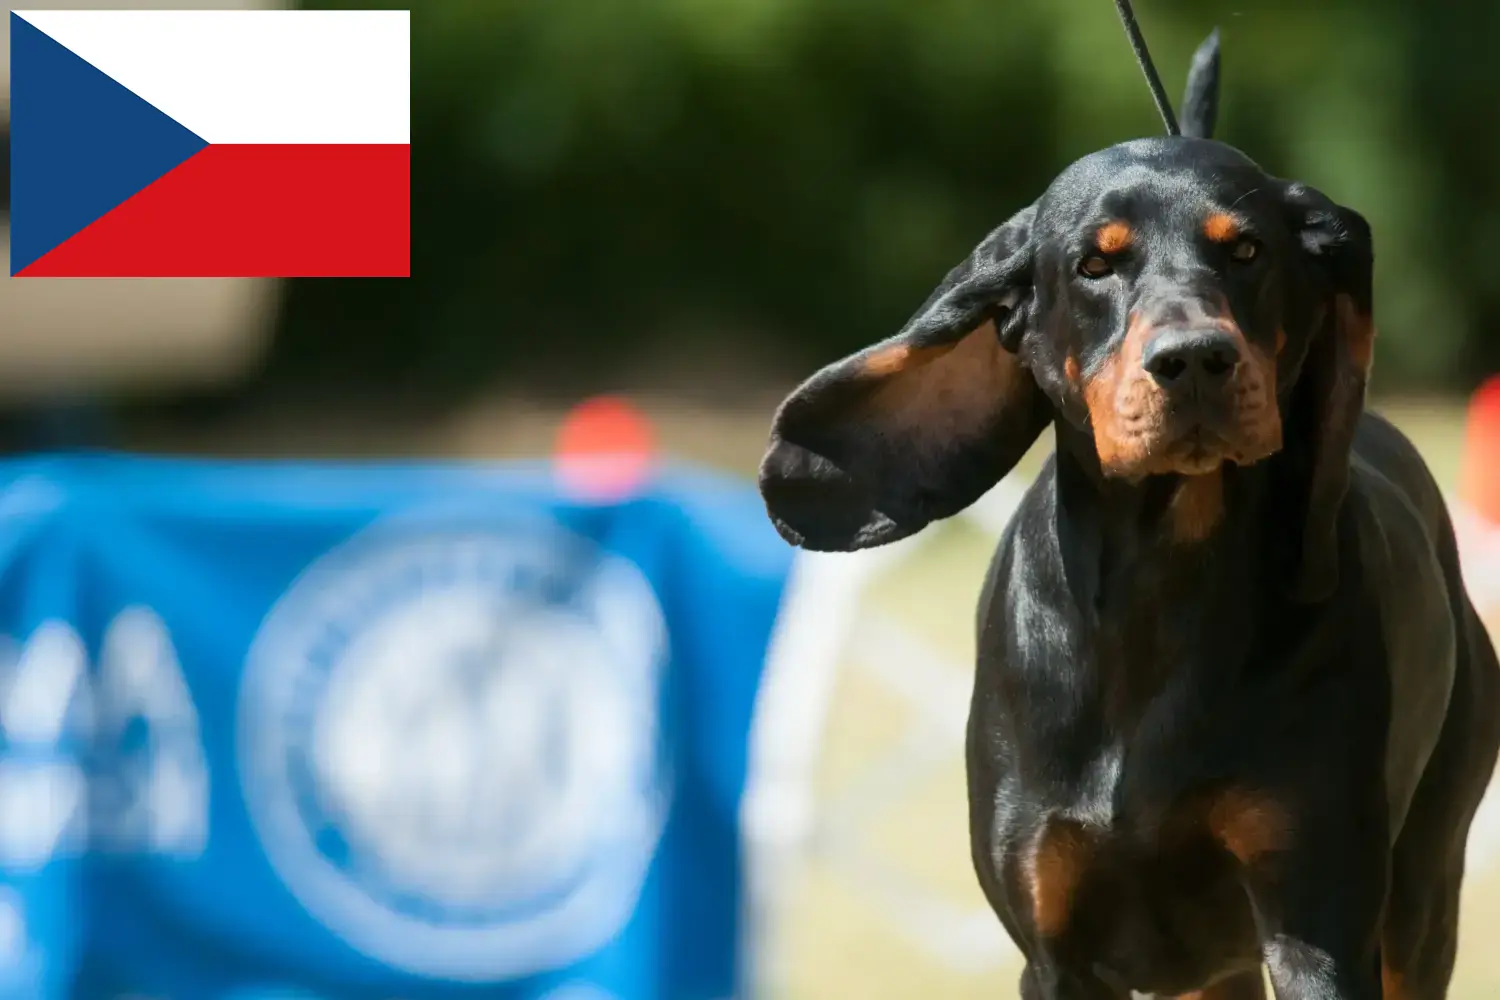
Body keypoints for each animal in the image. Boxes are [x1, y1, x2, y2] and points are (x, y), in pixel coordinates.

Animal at [756, 17, 1500, 1000]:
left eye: (1247, 250)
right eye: (1094, 265)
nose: (1193, 360)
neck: (1162, 583)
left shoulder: (1316, 922)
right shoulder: (1054, 946)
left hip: (1418, 899)